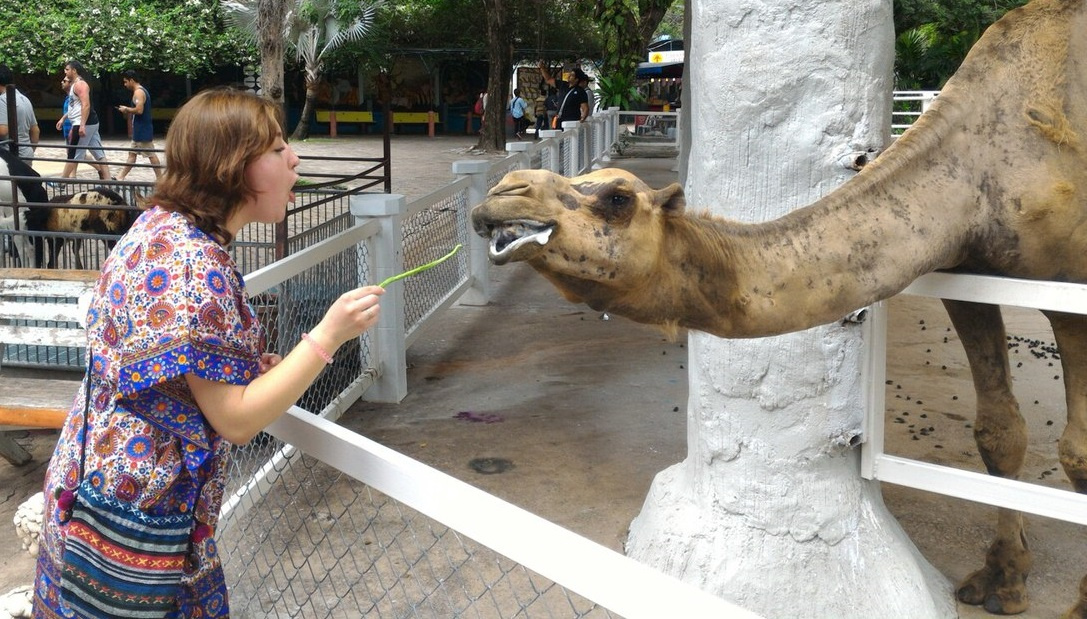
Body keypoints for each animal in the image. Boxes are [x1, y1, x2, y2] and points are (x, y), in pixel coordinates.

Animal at [469, 0, 1087, 613]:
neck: (982, 164)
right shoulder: (967, 274)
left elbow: (1077, 455)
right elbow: (999, 431)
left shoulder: (1069, 288)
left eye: (618, 197)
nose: (502, 193)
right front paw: (1003, 580)